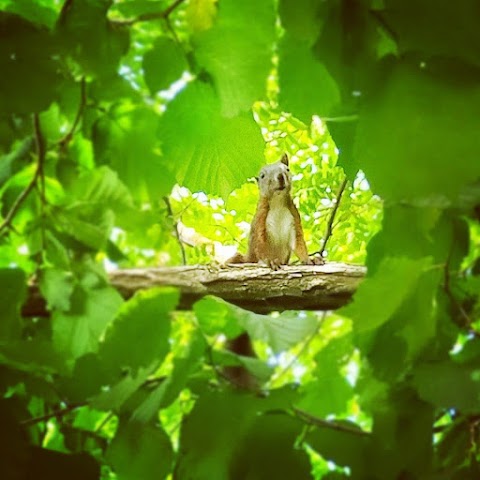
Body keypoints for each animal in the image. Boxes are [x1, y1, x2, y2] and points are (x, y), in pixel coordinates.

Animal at [224, 154, 322, 390]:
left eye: (286, 168)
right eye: (262, 175)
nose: (280, 177)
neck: (277, 203)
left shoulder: (294, 220)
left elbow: (299, 245)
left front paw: (310, 259)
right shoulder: (260, 221)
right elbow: (261, 245)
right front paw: (270, 261)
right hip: (244, 258)